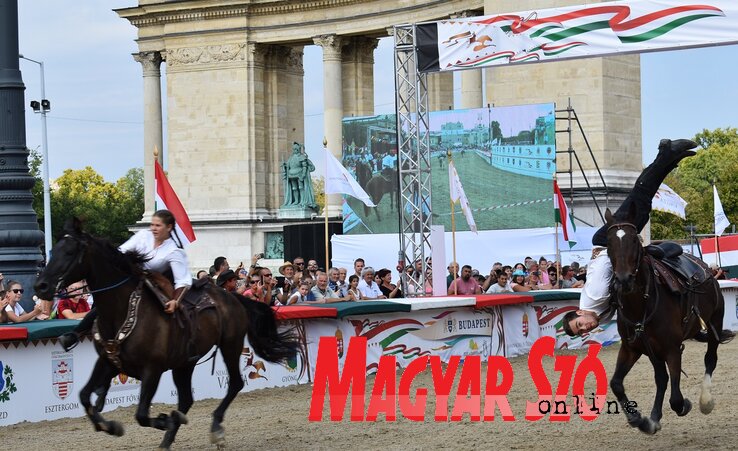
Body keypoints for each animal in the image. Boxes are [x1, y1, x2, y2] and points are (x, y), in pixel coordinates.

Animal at [32, 219, 296, 448]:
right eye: (54, 250)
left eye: (69, 252)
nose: (40, 286)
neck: (123, 311)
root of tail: (233, 297)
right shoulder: (107, 361)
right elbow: (85, 396)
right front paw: (110, 425)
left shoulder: (153, 369)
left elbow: (140, 414)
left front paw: (163, 420)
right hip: (185, 363)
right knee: (187, 399)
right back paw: (168, 438)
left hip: (229, 345)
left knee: (234, 384)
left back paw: (213, 429)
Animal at [604, 207, 732, 434]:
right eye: (609, 242)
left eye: (634, 240)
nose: (623, 280)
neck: (641, 304)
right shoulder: (632, 348)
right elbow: (617, 383)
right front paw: (639, 418)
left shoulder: (672, 349)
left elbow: (676, 399)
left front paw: (685, 405)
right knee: (661, 378)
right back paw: (653, 417)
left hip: (714, 323)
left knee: (710, 359)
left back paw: (705, 401)